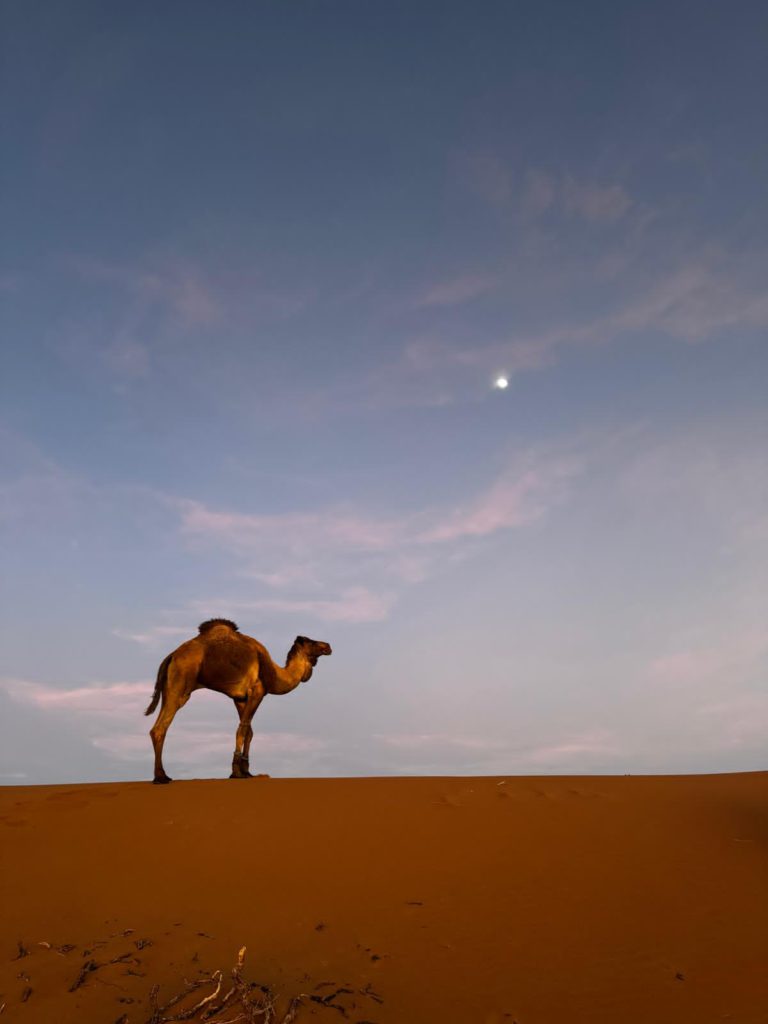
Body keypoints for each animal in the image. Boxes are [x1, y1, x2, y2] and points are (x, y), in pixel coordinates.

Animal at [145, 618, 332, 783]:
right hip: (180, 687)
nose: (328, 646)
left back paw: (162, 776)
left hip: (168, 689)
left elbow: (249, 731)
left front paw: (247, 772)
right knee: (160, 728)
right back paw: (160, 777)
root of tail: (171, 656)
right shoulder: (257, 692)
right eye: (311, 642)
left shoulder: (240, 698)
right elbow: (242, 729)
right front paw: (236, 772)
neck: (273, 673)